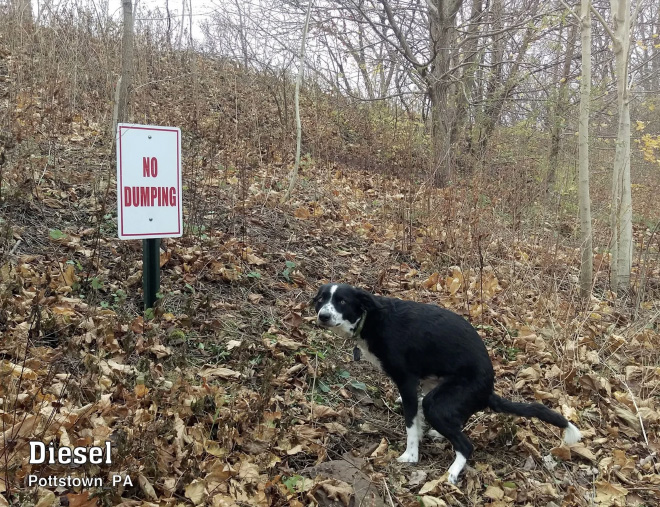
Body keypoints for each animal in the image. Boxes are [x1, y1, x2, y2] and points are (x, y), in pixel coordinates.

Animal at [312, 284, 580, 486]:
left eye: (342, 301)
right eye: (321, 299)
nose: (322, 316)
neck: (371, 318)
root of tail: (488, 391)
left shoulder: (407, 381)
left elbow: (410, 423)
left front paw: (411, 454)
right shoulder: (421, 383)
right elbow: (416, 418)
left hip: (438, 403)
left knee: (465, 444)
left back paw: (452, 471)